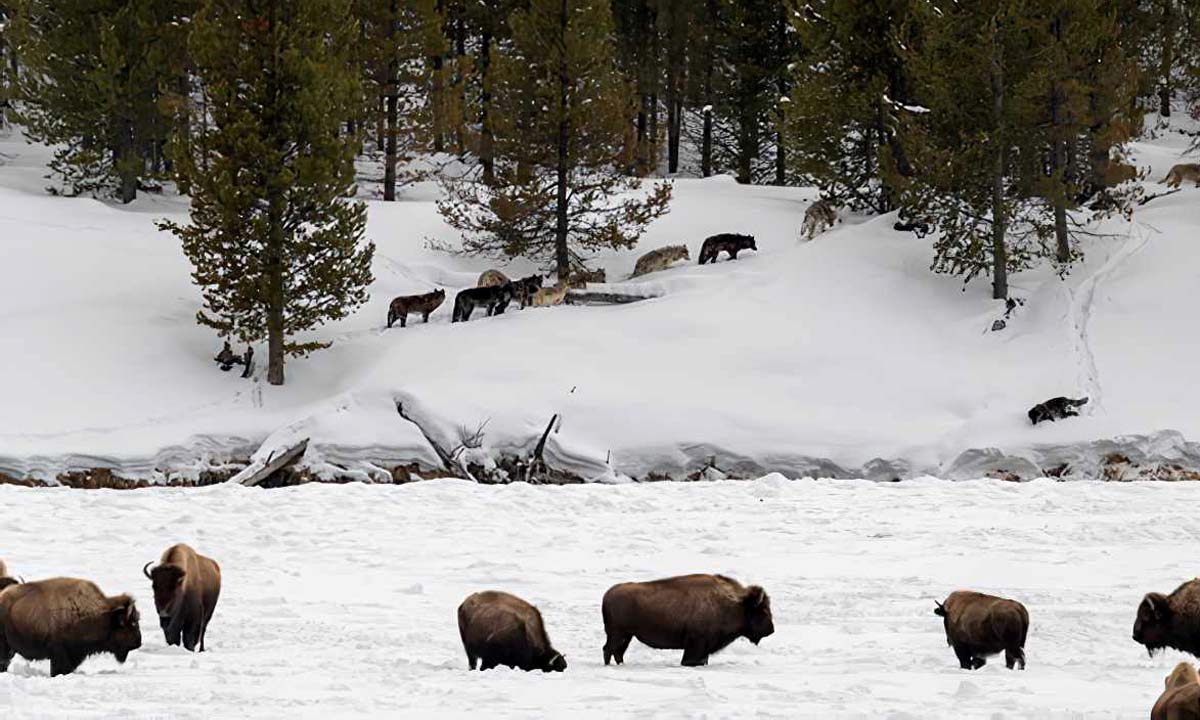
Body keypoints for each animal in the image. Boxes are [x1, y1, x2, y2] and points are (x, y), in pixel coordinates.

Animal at [600, 573, 777, 667]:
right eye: (763, 610)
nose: (771, 629)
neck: (734, 603)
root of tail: (607, 595)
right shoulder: (696, 644)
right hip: (618, 634)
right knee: (608, 649)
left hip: (627, 636)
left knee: (617, 652)